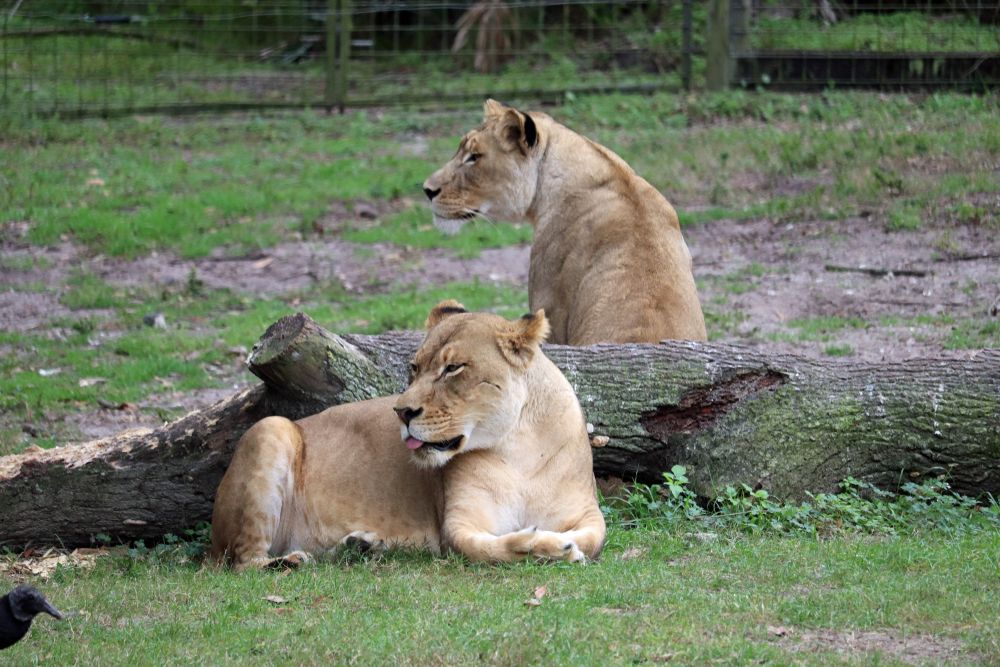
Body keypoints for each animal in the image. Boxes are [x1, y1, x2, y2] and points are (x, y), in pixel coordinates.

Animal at [210, 301, 606, 570]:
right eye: (414, 367)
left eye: (453, 368)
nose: (401, 412)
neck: (518, 447)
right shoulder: (457, 525)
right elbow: (487, 548)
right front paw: (544, 546)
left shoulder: (587, 512)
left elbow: (595, 537)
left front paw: (562, 543)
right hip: (270, 427)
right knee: (244, 563)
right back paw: (289, 562)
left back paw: (357, 547)